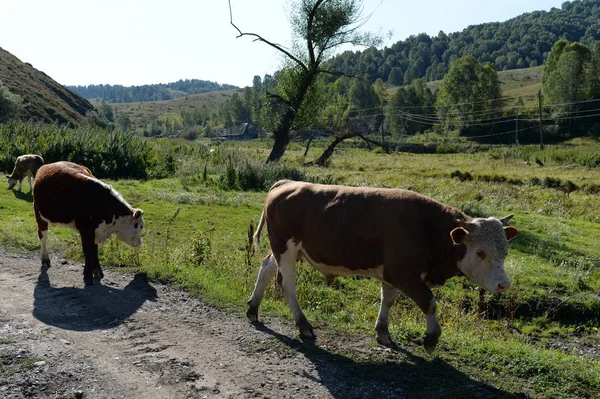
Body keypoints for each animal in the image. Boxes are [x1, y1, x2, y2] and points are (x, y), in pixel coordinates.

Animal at [246, 180, 516, 354]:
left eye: (505, 250)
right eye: (480, 252)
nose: (504, 284)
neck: (427, 228)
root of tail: (286, 183)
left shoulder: (392, 273)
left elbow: (388, 299)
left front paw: (383, 332)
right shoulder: (403, 272)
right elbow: (429, 302)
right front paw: (431, 338)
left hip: (283, 250)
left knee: (266, 267)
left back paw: (253, 308)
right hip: (285, 248)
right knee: (288, 283)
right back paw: (303, 325)